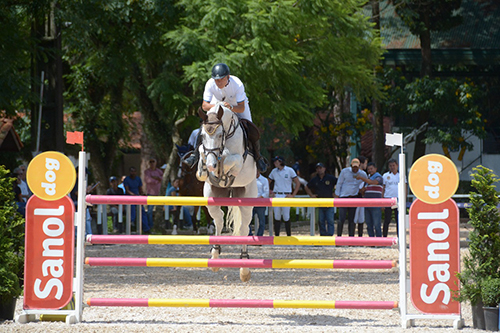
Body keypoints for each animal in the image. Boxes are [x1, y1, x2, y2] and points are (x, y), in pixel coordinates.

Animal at [195, 103, 258, 280]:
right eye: (203, 135)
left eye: (219, 134)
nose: (211, 166)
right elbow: (202, 151)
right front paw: (204, 169)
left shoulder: (238, 160)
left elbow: (229, 158)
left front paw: (222, 171)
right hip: (211, 197)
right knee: (219, 220)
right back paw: (215, 256)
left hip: (247, 199)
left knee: (244, 228)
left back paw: (244, 268)